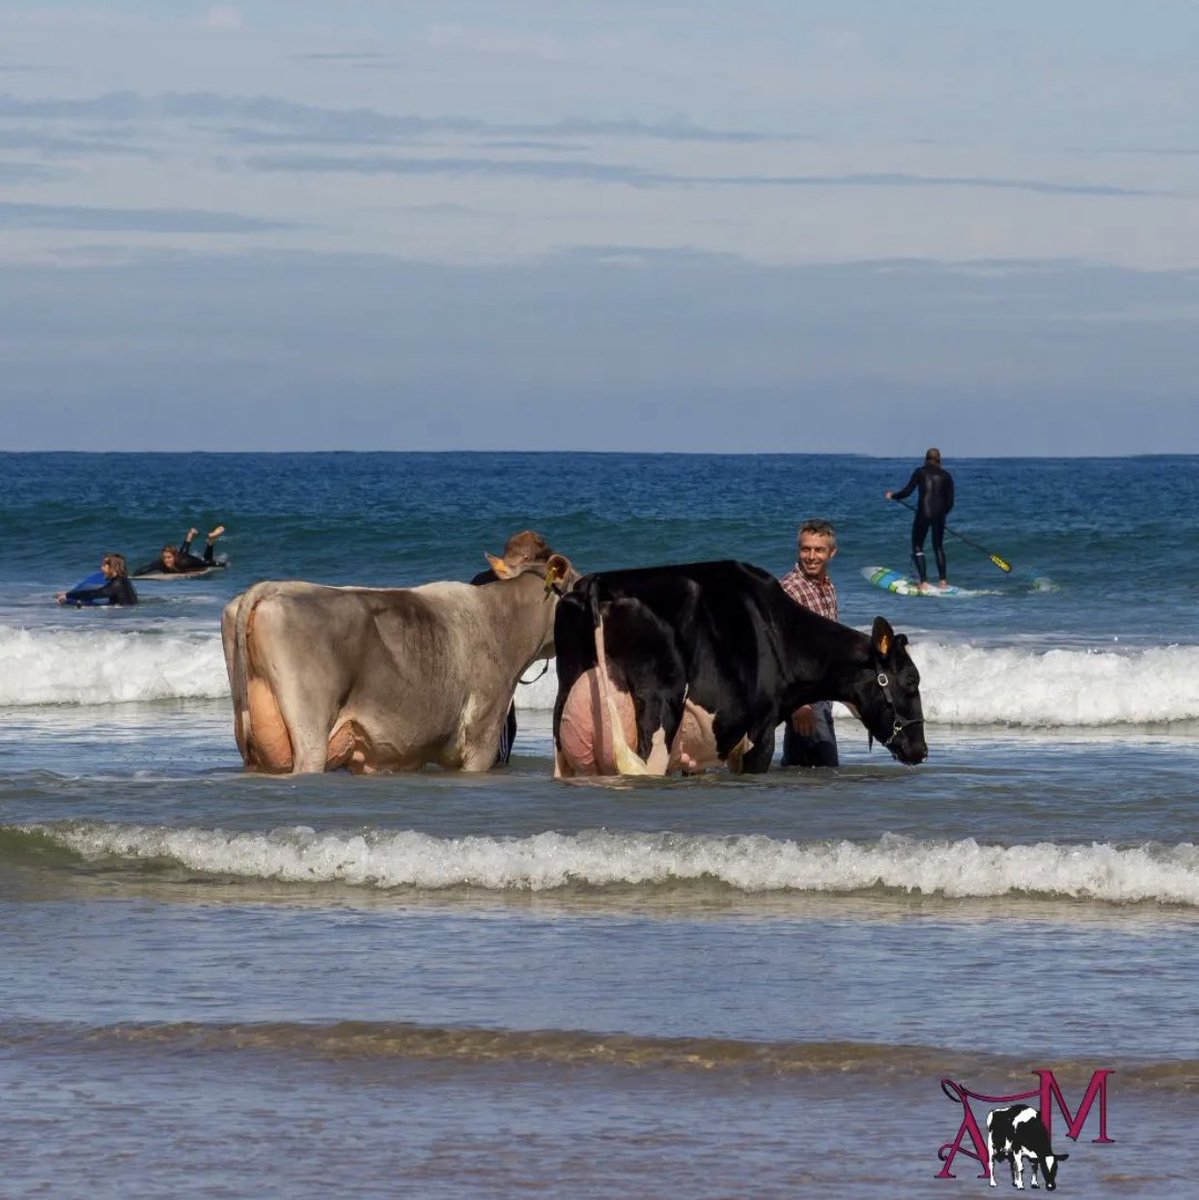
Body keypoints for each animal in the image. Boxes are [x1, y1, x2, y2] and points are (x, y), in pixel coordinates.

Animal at [551, 560, 927, 777]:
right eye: (911, 680)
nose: (922, 750)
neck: (779, 632)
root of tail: (597, 583)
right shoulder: (759, 731)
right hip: (659, 708)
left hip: (566, 707)